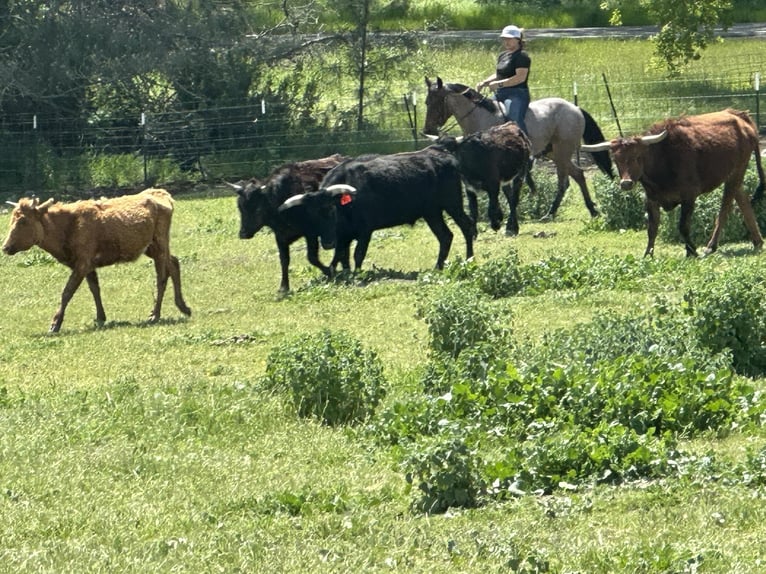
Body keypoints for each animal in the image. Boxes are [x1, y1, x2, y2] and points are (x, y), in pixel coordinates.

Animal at [2, 189, 191, 332]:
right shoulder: (88, 265)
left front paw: (55, 324)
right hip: (151, 248)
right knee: (174, 263)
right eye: (12, 219)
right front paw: (100, 317)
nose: (5, 247)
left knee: (161, 277)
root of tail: (165, 195)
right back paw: (184, 307)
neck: (64, 230)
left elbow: (67, 292)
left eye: (23, 220)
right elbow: (95, 289)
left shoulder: (82, 263)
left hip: (160, 243)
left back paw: (155, 314)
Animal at [231, 154, 344, 292]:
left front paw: (329, 271)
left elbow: (311, 257)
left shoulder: (311, 234)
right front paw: (283, 287)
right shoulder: (280, 236)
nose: (243, 234)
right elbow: (284, 260)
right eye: (240, 207)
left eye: (257, 208)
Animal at [280, 145, 476, 274]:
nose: (327, 243)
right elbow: (340, 256)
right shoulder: (343, 236)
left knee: (467, 228)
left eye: (331, 210)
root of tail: (443, 155)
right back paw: (438, 267)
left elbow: (357, 254)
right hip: (432, 213)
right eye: (311, 217)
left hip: (453, 205)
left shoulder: (365, 231)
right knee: (445, 236)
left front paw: (358, 274)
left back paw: (469, 260)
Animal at [424, 75, 616, 228]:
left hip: (562, 151)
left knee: (564, 181)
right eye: (427, 102)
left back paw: (551, 213)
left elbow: (507, 190)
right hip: (554, 153)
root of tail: (574, 108)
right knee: (577, 174)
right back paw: (590, 210)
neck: (480, 117)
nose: (428, 129)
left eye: (436, 102)